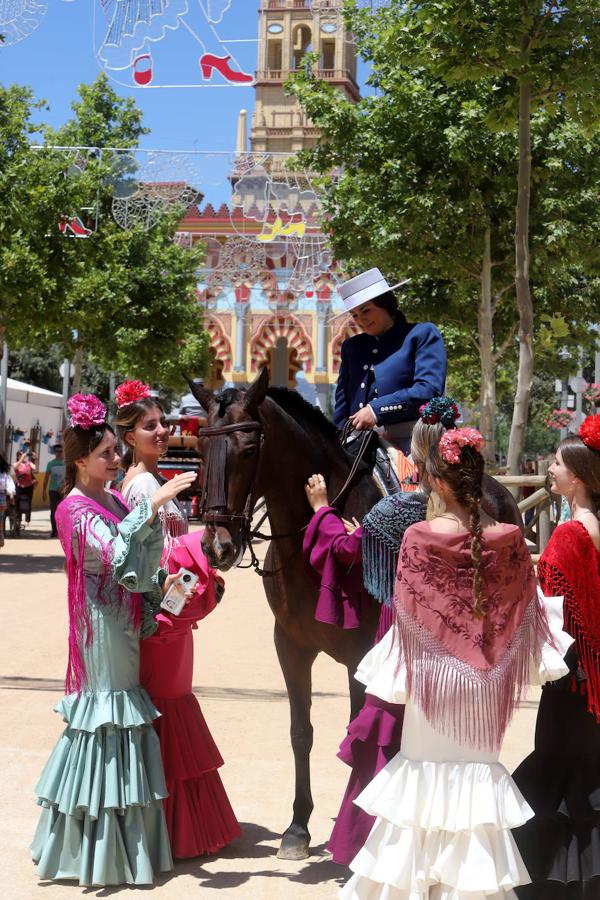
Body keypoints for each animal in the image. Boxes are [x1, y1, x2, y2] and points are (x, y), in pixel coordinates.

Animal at [186, 370, 520, 860]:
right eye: (199, 449)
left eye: (249, 448)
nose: (217, 547)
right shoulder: (290, 645)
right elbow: (301, 731)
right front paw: (297, 828)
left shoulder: (362, 653)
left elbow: (360, 729)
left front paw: (360, 827)